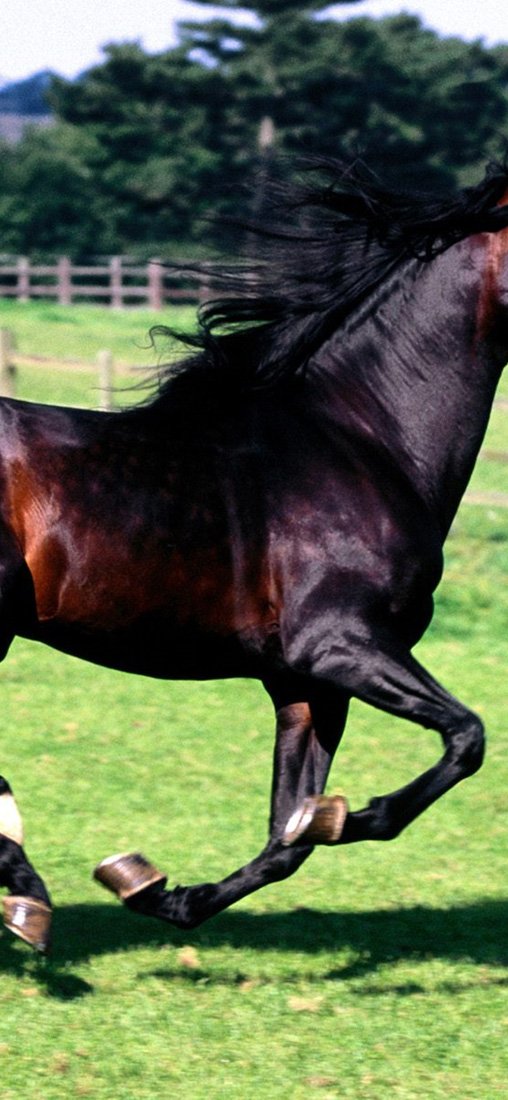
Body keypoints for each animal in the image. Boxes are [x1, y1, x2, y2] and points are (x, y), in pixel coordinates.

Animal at [0, 158, 507, 953]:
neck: (364, 436)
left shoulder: (305, 680)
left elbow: (287, 834)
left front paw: (158, 891)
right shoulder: (339, 644)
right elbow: (465, 738)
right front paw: (348, 815)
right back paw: (27, 896)